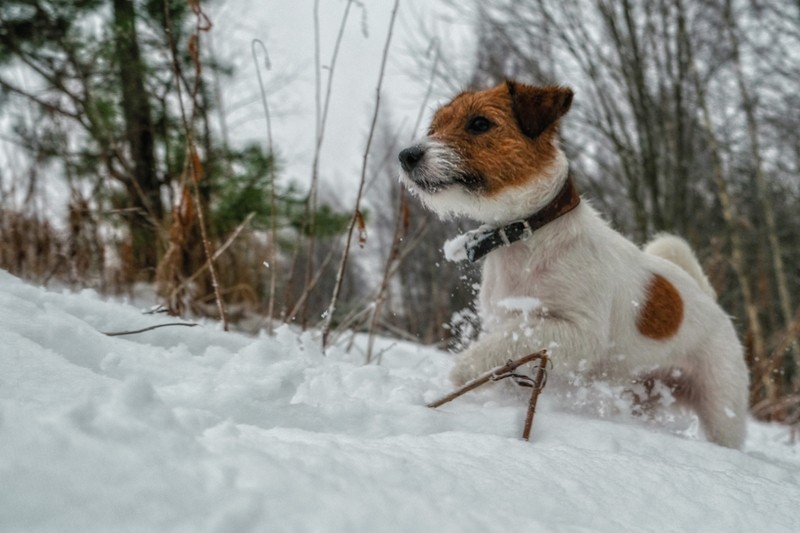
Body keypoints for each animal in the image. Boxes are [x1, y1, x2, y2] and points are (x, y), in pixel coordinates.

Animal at [400, 81, 752, 446]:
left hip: (722, 406)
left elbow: (510, 340)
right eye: (434, 127)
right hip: (644, 395)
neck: (529, 235)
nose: (407, 155)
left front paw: (465, 369)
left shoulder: (579, 332)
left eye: (480, 123)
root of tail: (709, 300)